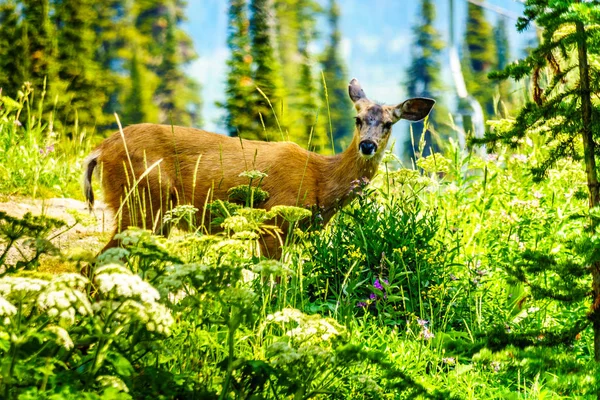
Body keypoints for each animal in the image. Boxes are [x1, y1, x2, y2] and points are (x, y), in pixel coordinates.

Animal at [82, 79, 434, 258]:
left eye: (388, 124)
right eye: (358, 119)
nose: (367, 145)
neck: (320, 178)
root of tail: (101, 149)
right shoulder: (273, 222)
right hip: (141, 204)